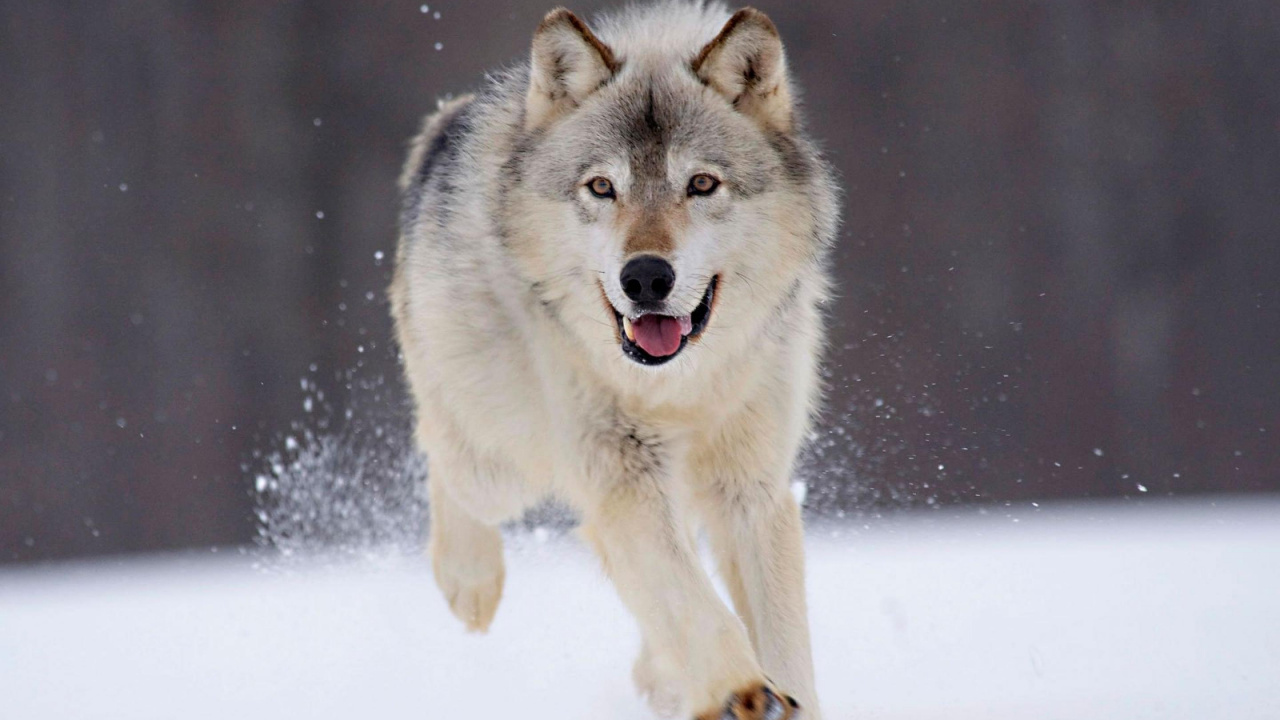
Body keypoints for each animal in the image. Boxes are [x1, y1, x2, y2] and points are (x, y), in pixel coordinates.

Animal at [390, 2, 839, 717]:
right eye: (602, 187)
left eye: (701, 183)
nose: (646, 278)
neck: (679, 388)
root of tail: (447, 122)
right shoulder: (622, 473)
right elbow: (693, 602)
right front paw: (741, 690)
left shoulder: (751, 487)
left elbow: (780, 636)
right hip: (500, 460)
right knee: (441, 453)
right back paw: (470, 583)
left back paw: (660, 678)